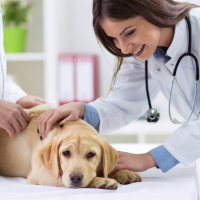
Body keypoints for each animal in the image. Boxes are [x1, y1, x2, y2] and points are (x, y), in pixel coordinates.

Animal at [0, 104, 141, 189]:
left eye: (91, 154)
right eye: (66, 153)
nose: (75, 178)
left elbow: (107, 167)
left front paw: (123, 171)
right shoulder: (40, 174)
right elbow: (66, 178)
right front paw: (101, 180)